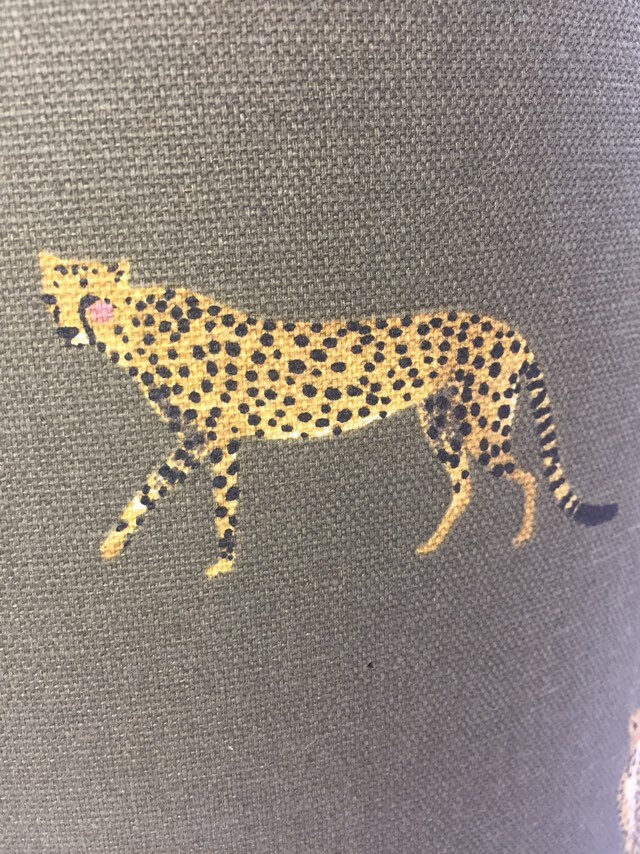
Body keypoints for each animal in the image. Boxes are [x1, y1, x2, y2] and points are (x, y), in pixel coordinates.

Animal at [40, 251, 617, 579]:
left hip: (482, 423)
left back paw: (522, 539)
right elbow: (160, 491)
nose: (65, 329)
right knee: (465, 483)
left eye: (93, 302)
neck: (135, 331)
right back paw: (430, 545)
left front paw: (216, 565)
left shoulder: (217, 439)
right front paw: (116, 545)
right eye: (51, 299)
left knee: (525, 476)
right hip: (438, 423)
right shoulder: (203, 441)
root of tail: (512, 329)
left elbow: (207, 502)